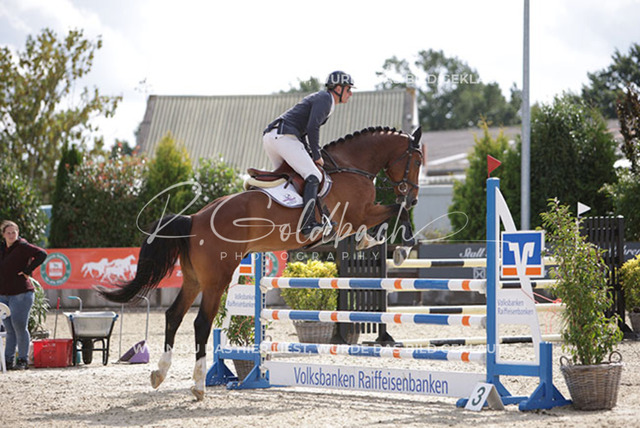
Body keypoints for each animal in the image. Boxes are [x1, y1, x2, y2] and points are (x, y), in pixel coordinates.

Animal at [99, 126, 423, 400]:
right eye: (417, 161)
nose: (414, 197)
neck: (351, 166)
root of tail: (194, 218)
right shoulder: (359, 214)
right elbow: (395, 211)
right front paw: (401, 247)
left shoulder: (357, 218)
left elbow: (385, 218)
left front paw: (373, 241)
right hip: (216, 280)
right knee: (201, 322)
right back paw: (199, 385)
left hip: (193, 279)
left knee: (173, 315)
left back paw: (160, 373)